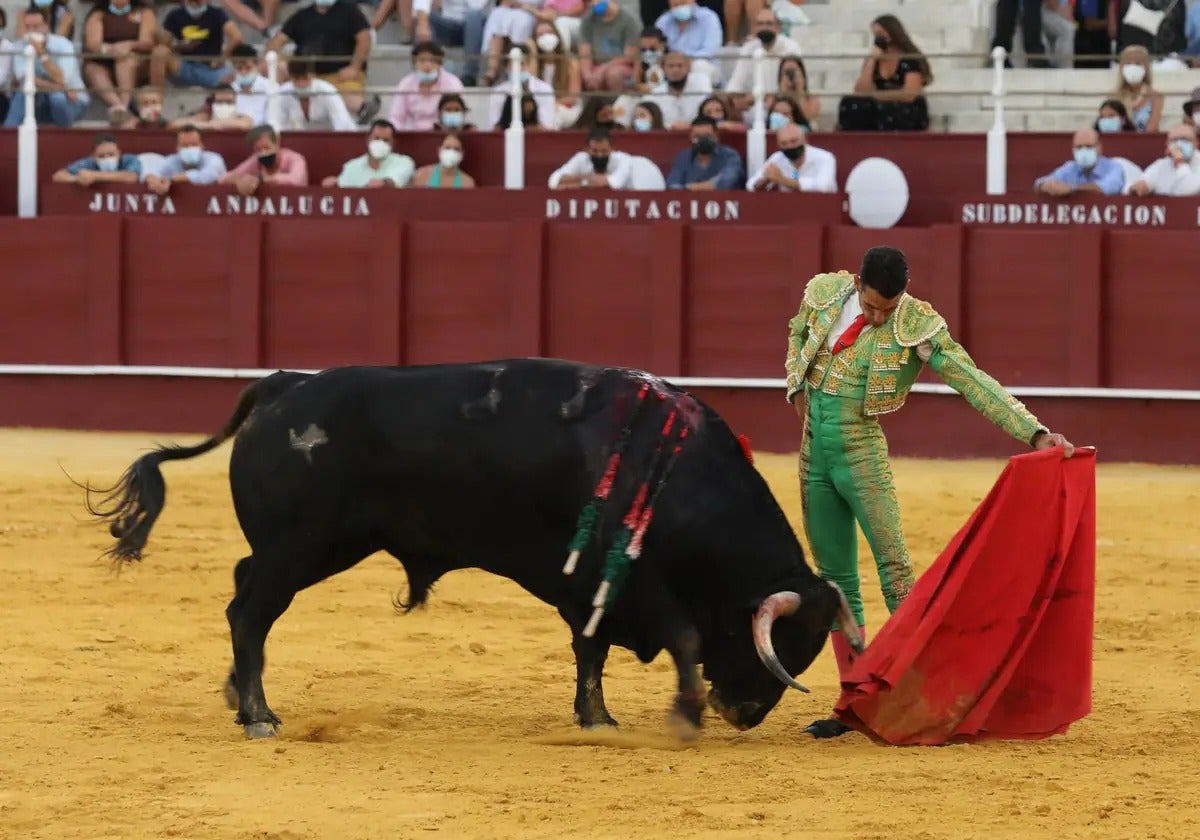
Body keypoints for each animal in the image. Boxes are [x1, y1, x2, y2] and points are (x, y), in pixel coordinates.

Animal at [91, 357, 864, 739]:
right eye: (776, 642)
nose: (746, 715)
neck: (676, 469)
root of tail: (284, 387)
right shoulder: (634, 580)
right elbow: (680, 636)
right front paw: (684, 713)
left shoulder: (591, 589)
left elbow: (592, 649)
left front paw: (597, 718)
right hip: (299, 548)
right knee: (250, 613)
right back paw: (258, 715)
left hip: (309, 548)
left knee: (240, 590)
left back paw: (236, 695)